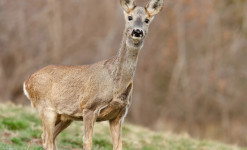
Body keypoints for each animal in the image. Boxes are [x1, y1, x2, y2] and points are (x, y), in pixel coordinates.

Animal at [23, 0, 164, 149]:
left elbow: (118, 145)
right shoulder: (89, 108)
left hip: (65, 116)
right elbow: (87, 141)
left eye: (147, 20)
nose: (137, 31)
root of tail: (27, 83)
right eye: (129, 17)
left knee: (48, 137)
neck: (116, 85)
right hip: (46, 108)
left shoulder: (119, 115)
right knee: (47, 139)